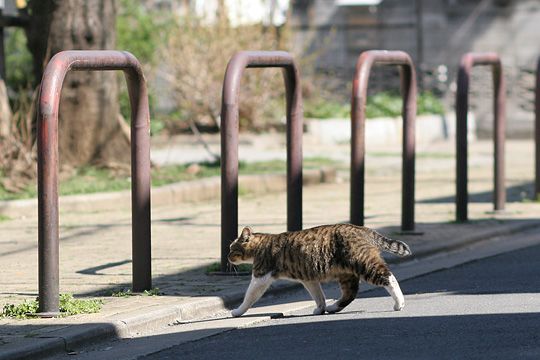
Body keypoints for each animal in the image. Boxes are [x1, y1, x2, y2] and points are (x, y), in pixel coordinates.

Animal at [226, 224, 412, 316]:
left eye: (232, 249)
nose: (227, 257)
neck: (261, 243)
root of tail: (362, 228)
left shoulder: (261, 276)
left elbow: (249, 297)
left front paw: (237, 311)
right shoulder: (308, 278)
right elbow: (318, 296)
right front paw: (320, 309)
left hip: (363, 263)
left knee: (388, 277)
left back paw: (399, 303)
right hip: (347, 274)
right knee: (350, 293)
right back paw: (333, 307)